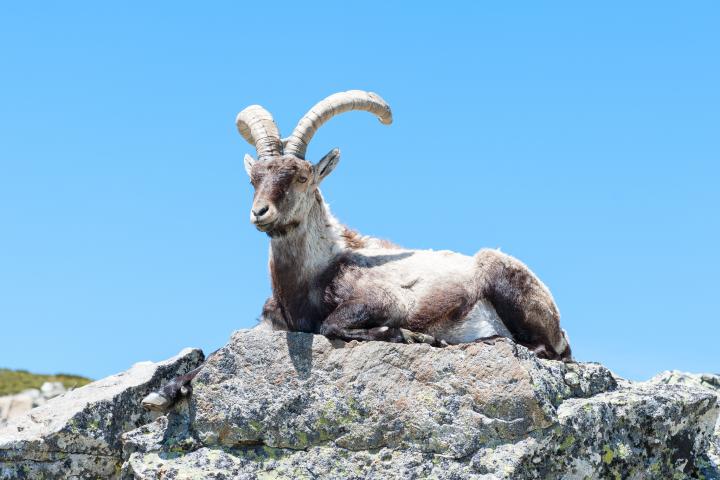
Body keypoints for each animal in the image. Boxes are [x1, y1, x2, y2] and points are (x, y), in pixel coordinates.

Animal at [142, 90, 572, 412]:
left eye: (301, 176)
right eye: (253, 179)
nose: (260, 212)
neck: (311, 276)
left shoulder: (381, 300)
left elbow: (332, 326)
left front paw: (410, 336)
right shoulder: (270, 324)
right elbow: (215, 354)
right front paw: (161, 392)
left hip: (507, 285)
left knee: (538, 348)